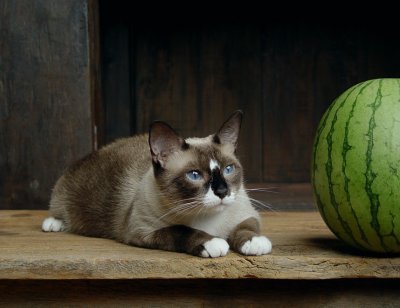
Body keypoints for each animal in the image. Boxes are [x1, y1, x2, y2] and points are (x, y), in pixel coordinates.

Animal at [42, 110, 272, 258]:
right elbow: (180, 230)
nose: (223, 191)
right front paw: (213, 243)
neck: (207, 219)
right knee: (57, 209)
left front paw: (255, 243)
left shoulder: (248, 214)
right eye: (194, 175)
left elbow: (245, 228)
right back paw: (53, 224)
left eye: (228, 170)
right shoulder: (143, 230)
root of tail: (97, 150)